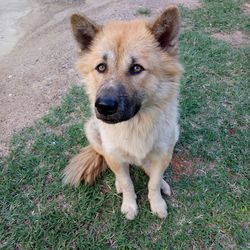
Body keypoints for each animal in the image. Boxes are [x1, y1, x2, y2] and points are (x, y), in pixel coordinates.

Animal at [63, 5, 183, 220]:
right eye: (101, 67)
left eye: (136, 68)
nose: (103, 106)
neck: (135, 125)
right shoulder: (115, 156)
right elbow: (127, 183)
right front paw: (129, 205)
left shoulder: (163, 153)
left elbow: (153, 182)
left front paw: (157, 202)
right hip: (93, 132)